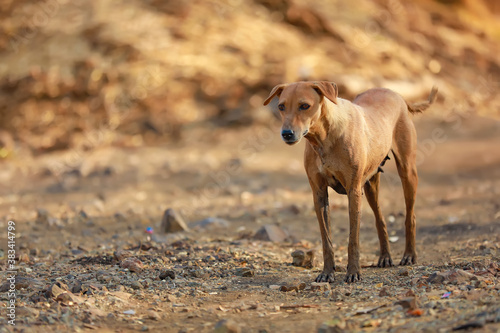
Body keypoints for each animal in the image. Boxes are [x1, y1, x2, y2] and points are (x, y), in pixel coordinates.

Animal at [264, 81, 436, 282]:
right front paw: (327, 272)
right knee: (380, 218)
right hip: (370, 185)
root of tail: (397, 94)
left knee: (410, 216)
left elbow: (353, 238)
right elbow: (326, 239)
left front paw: (353, 272)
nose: (287, 133)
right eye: (281, 106)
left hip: (407, 172)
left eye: (304, 106)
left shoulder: (353, 191)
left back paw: (409, 255)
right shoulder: (319, 193)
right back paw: (385, 257)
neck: (324, 138)